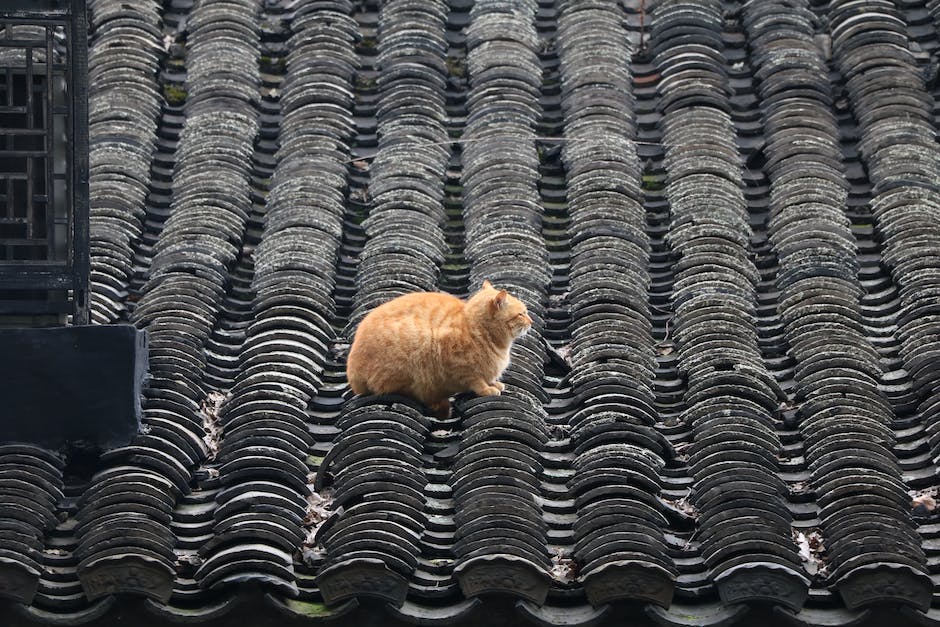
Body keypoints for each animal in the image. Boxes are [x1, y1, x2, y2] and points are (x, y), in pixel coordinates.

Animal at [346, 282, 536, 420]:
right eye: (521, 314)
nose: (532, 321)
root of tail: (352, 374)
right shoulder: (458, 364)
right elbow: (475, 380)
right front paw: (487, 389)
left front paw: (494, 383)